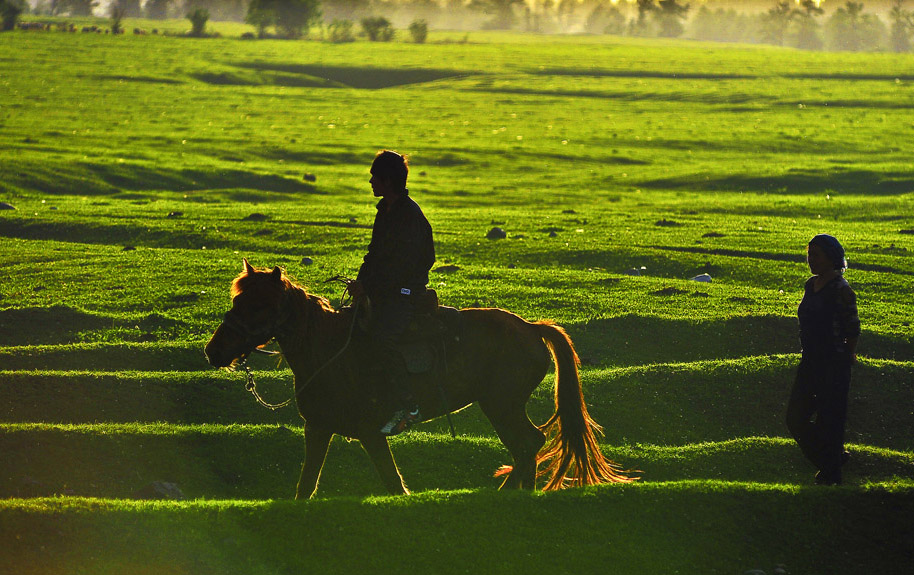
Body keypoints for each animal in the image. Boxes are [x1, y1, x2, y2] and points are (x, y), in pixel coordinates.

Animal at [204, 260, 632, 500]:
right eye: (236, 300)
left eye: (258, 305)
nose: (214, 351)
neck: (329, 352)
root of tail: (531, 328)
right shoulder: (319, 428)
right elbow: (306, 485)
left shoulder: (370, 431)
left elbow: (392, 480)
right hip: (502, 405)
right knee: (528, 445)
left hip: (501, 404)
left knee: (528, 444)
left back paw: (506, 494)